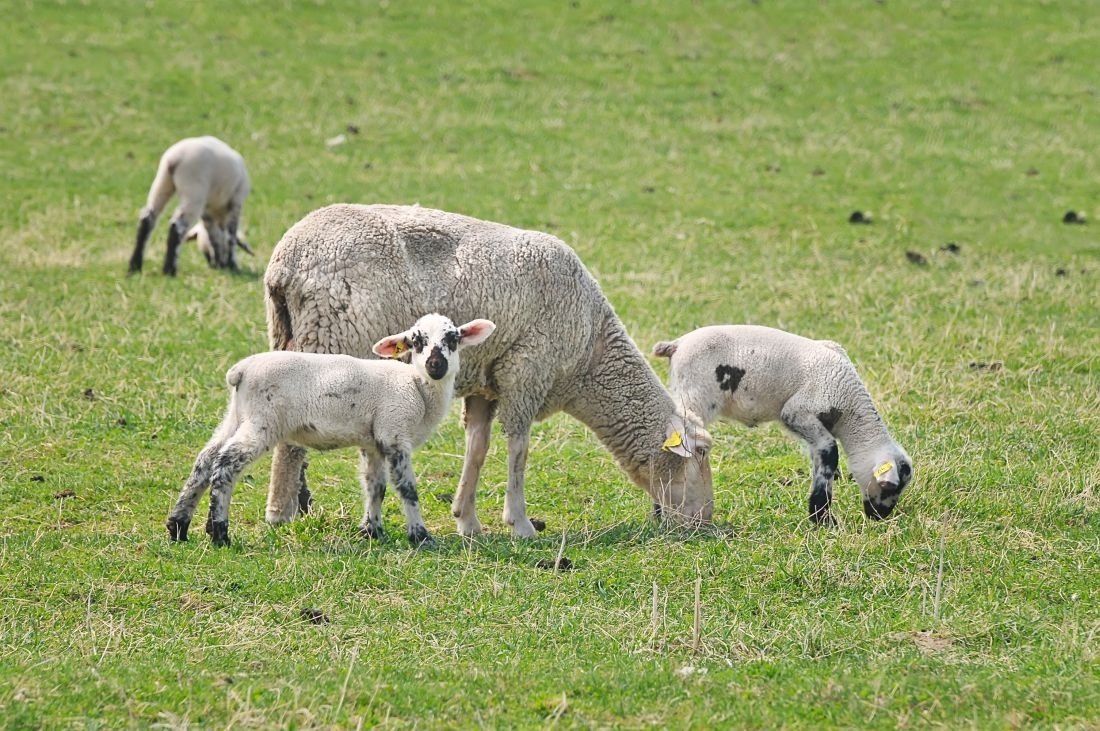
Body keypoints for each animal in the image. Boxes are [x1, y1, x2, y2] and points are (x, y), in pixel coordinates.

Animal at [127, 135, 251, 274]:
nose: (214, 265)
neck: (218, 211)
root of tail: (174, 159)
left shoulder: (207, 212)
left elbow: (214, 237)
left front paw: (221, 263)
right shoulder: (236, 201)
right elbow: (231, 236)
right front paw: (232, 264)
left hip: (162, 182)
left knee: (147, 219)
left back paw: (135, 266)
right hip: (193, 191)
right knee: (177, 225)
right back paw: (169, 270)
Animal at [165, 309, 497, 545]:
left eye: (453, 339)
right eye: (416, 341)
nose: (435, 366)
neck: (418, 388)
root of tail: (241, 371)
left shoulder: (373, 441)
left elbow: (375, 486)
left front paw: (372, 531)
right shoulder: (394, 433)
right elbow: (406, 488)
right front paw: (420, 535)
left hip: (237, 414)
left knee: (205, 460)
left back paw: (178, 526)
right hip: (263, 421)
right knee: (225, 464)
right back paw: (219, 532)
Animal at [262, 203, 717, 536]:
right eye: (702, 454)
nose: (707, 522)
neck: (590, 356)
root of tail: (288, 261)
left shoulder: (486, 383)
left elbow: (477, 449)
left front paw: (466, 519)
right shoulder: (527, 370)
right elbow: (519, 448)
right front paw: (519, 523)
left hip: (287, 332)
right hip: (331, 336)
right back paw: (280, 512)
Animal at [651, 325, 910, 525]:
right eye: (890, 488)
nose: (880, 516)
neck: (849, 407)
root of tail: (677, 344)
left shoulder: (811, 428)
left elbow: (819, 458)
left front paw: (819, 513)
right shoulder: (797, 412)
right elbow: (830, 453)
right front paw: (823, 519)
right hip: (694, 396)